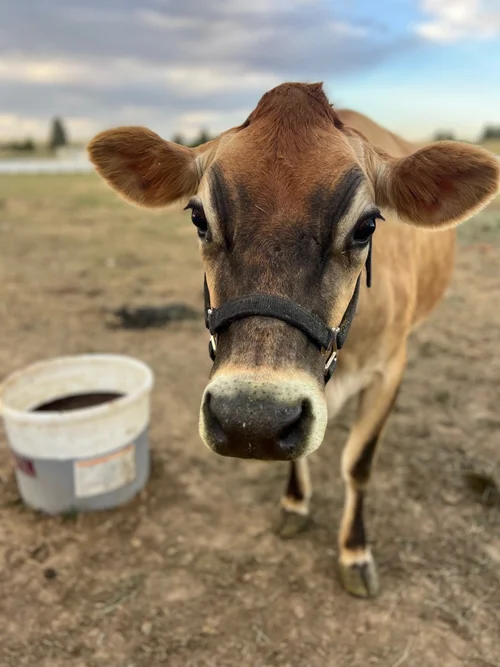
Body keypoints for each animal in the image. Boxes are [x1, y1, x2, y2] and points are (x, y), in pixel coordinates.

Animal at [88, 82, 500, 598]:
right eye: (199, 219)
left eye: (367, 226)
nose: (252, 420)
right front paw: (294, 503)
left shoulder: (391, 368)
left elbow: (358, 463)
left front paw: (354, 551)